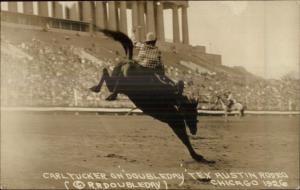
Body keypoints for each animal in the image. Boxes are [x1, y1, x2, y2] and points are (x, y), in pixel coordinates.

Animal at [90, 29, 214, 164]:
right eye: (193, 111)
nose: (194, 130)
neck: (174, 101)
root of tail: (129, 60)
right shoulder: (175, 121)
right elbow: (185, 139)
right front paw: (198, 156)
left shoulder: (174, 122)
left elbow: (184, 138)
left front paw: (197, 156)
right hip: (124, 82)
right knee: (114, 80)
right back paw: (109, 94)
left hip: (118, 81)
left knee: (106, 72)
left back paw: (98, 89)